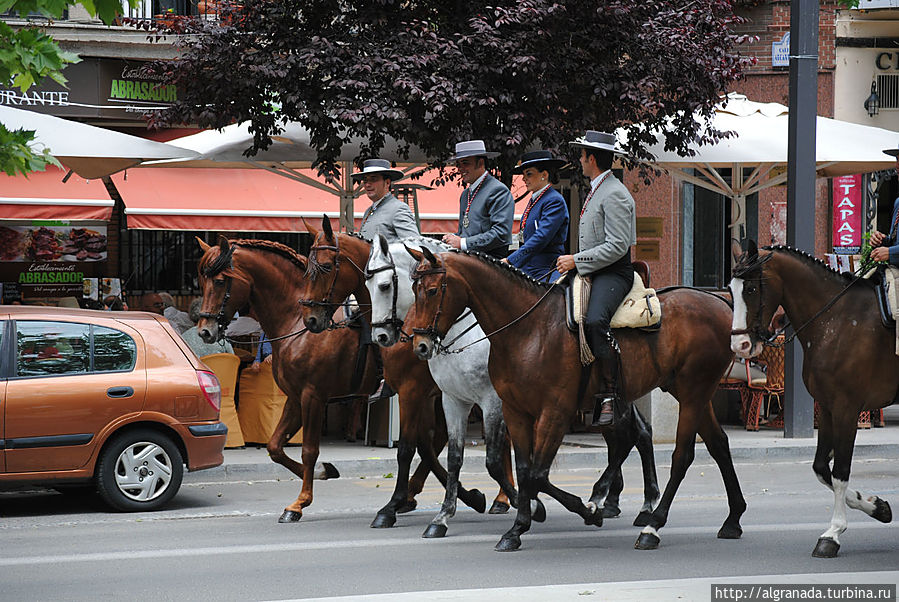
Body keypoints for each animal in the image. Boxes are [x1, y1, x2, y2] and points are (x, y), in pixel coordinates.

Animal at [195, 238, 442, 520]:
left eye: (220, 281)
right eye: (202, 281)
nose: (204, 331)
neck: (297, 323)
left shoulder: (312, 397)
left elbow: (309, 450)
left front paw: (300, 502)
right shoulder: (294, 398)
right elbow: (275, 446)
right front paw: (325, 471)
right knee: (437, 439)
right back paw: (412, 495)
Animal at [298, 218, 506, 528]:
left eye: (324, 267)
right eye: (367, 284)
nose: (310, 320)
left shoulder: (414, 392)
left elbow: (408, 448)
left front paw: (392, 506)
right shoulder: (430, 395)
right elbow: (427, 446)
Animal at [408, 246, 744, 552]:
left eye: (432, 290)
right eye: (413, 289)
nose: (419, 344)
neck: (529, 330)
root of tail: (719, 301)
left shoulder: (553, 411)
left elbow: (537, 474)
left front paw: (580, 511)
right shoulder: (513, 411)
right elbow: (524, 470)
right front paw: (517, 528)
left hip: (691, 392)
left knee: (679, 455)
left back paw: (651, 525)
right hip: (686, 393)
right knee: (713, 443)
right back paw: (732, 519)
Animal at [728, 241, 896, 556]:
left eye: (752, 289)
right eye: (730, 290)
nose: (740, 345)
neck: (836, 321)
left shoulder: (846, 409)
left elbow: (840, 471)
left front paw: (833, 532)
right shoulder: (828, 409)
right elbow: (821, 469)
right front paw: (876, 506)